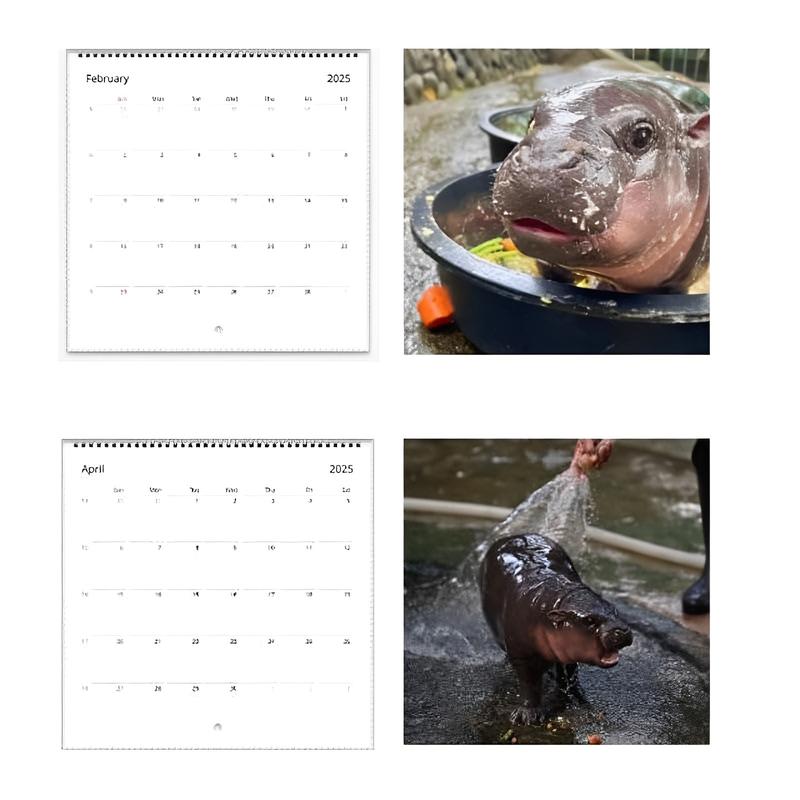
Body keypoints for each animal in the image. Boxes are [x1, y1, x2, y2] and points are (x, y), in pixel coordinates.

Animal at [480, 532, 633, 725]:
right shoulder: (522, 655)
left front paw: (576, 695)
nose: (623, 630)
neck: (559, 600)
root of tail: (512, 536)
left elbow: (571, 672)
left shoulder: (568, 651)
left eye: (614, 609)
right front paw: (527, 716)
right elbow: (529, 684)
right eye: (589, 620)